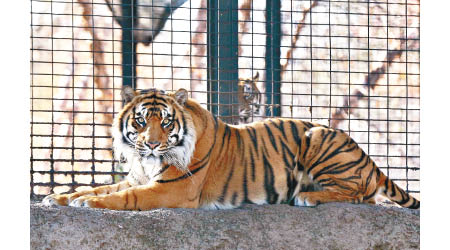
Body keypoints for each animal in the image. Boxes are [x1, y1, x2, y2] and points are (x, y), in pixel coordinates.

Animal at [42, 87, 418, 210]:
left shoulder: (171, 189)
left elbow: (123, 197)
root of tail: (370, 161)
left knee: (361, 194)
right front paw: (59, 197)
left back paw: (308, 196)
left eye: (166, 123)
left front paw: (88, 203)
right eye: (140, 121)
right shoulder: (138, 176)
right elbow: (99, 186)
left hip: (317, 137)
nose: (151, 144)